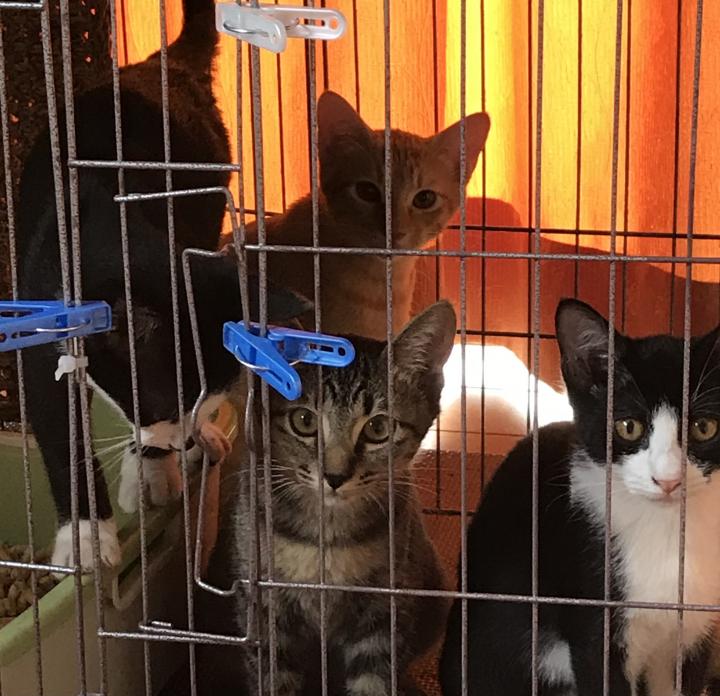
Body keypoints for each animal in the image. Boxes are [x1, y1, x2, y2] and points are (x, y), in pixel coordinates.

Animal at [16, 0, 310, 571]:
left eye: (201, 401)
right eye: (163, 404)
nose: (182, 441)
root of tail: (165, 62)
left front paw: (152, 469)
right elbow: (60, 431)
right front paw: (85, 538)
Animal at [195, 300, 457, 696]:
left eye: (378, 428)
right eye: (304, 420)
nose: (335, 476)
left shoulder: (384, 612)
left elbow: (374, 680)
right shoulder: (266, 609)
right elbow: (274, 678)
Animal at [439, 298, 720, 696]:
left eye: (704, 427)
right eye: (628, 427)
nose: (668, 480)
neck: (665, 530)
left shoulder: (694, 628)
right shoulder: (594, 619)